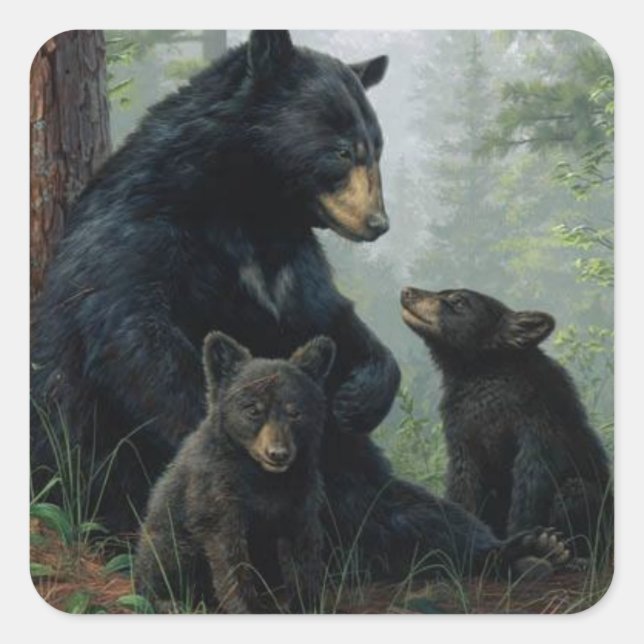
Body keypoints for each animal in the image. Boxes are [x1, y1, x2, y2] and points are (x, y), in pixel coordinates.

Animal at [31, 30, 568, 581]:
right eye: (342, 151)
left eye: (377, 149)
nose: (378, 223)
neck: (251, 210)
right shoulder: (142, 234)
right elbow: (140, 340)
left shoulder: (290, 264)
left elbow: (332, 320)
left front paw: (358, 397)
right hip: (103, 470)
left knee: (417, 515)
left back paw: (525, 550)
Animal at [134, 332, 335, 613]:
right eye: (253, 410)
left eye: (295, 412)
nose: (278, 454)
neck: (263, 478)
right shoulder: (217, 497)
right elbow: (231, 561)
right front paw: (247, 607)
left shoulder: (300, 500)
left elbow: (303, 559)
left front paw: (308, 605)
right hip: (174, 539)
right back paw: (172, 602)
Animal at [401, 286, 613, 559]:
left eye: (458, 301)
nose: (407, 291)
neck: (481, 374)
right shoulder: (461, 431)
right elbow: (463, 484)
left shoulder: (538, 423)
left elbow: (530, 485)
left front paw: (532, 544)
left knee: (577, 494)